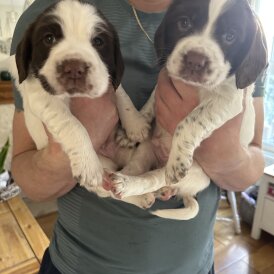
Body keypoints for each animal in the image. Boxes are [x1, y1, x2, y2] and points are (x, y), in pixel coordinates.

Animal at [108, 0, 268, 219]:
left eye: (230, 36)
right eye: (184, 23)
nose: (195, 60)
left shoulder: (227, 99)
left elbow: (190, 121)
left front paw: (178, 157)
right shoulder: (167, 77)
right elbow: (151, 103)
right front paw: (134, 129)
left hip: (189, 173)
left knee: (153, 178)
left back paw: (132, 184)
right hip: (145, 151)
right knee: (135, 169)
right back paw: (120, 181)